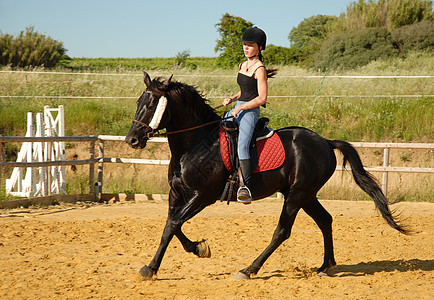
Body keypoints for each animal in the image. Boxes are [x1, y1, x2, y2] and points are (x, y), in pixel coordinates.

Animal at [124, 71, 406, 280]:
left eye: (151, 104)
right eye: (137, 103)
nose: (132, 140)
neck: (195, 143)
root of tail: (325, 141)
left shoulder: (202, 196)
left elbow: (173, 225)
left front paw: (150, 268)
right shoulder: (177, 193)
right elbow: (172, 225)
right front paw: (198, 248)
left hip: (297, 195)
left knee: (282, 231)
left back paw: (249, 269)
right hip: (305, 194)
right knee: (325, 220)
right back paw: (325, 267)